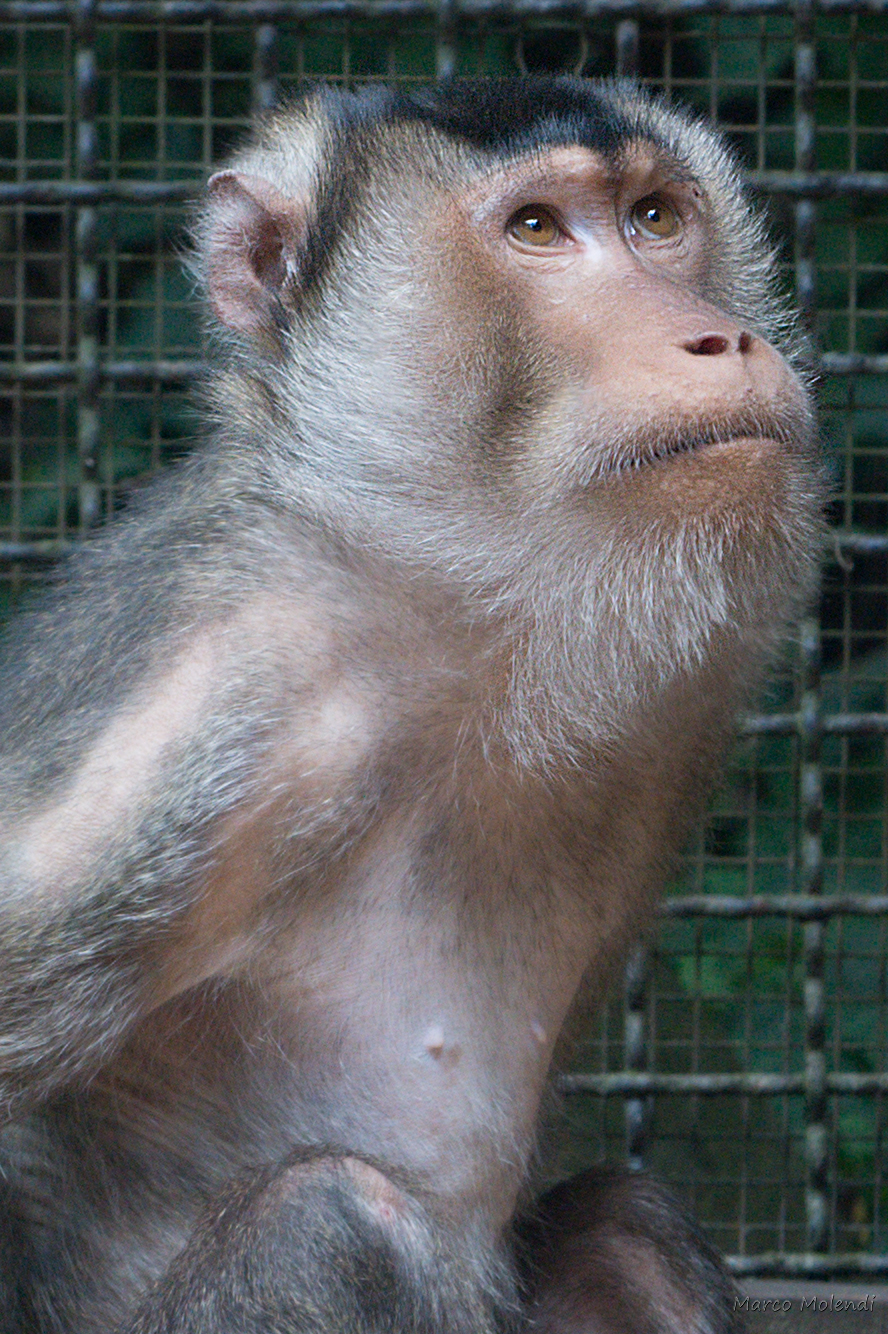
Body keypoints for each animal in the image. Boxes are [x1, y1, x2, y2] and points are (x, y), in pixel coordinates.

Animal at [0, 76, 821, 1332]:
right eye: (537, 228)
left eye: (655, 217)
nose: (716, 333)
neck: (437, 591)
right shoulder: (224, 717)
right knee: (332, 1218)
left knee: (628, 1227)